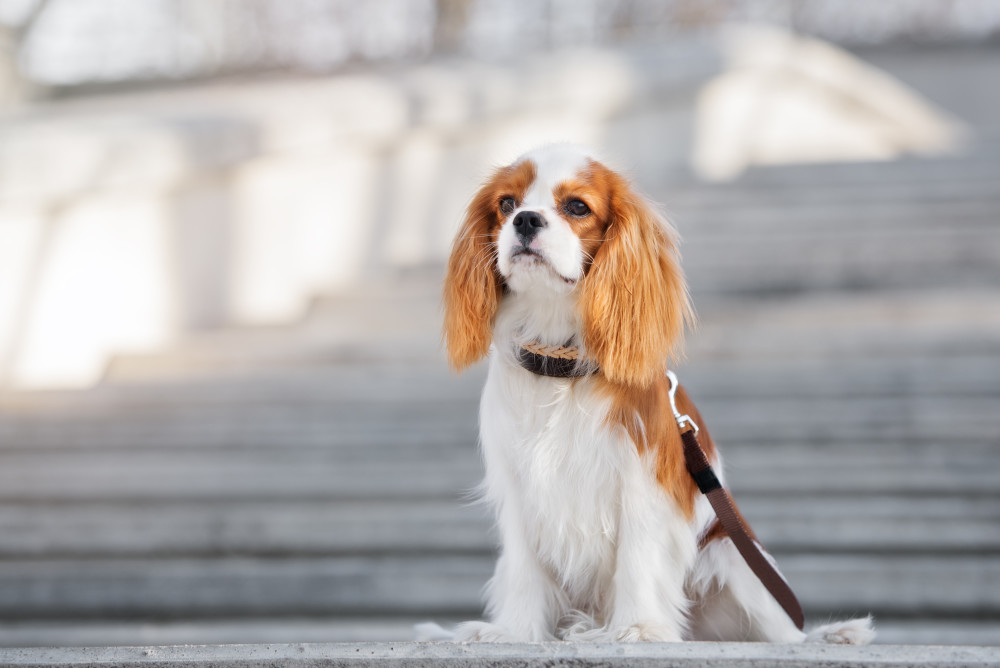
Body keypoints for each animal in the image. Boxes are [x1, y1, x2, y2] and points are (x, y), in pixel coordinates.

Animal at [434, 144, 872, 644]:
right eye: (506, 204)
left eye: (577, 207)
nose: (525, 219)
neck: (560, 362)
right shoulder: (519, 488)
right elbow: (525, 567)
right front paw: (514, 632)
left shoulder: (645, 482)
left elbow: (638, 557)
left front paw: (640, 628)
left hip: (732, 556)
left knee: (785, 633)